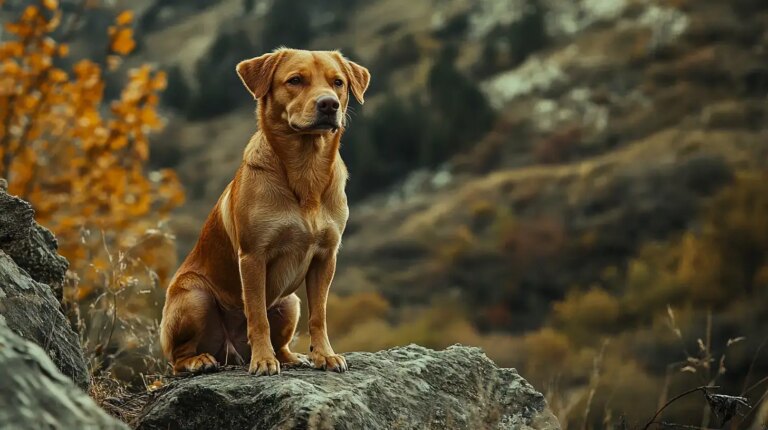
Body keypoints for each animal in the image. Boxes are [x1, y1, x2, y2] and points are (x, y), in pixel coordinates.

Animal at [159, 48, 368, 374]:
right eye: (295, 80)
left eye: (338, 82)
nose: (329, 104)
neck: (305, 173)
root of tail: (231, 352)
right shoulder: (253, 257)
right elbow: (257, 316)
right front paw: (263, 360)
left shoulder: (325, 257)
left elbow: (319, 315)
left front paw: (325, 355)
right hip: (194, 296)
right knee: (177, 357)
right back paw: (201, 360)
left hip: (289, 303)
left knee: (283, 338)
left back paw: (291, 357)